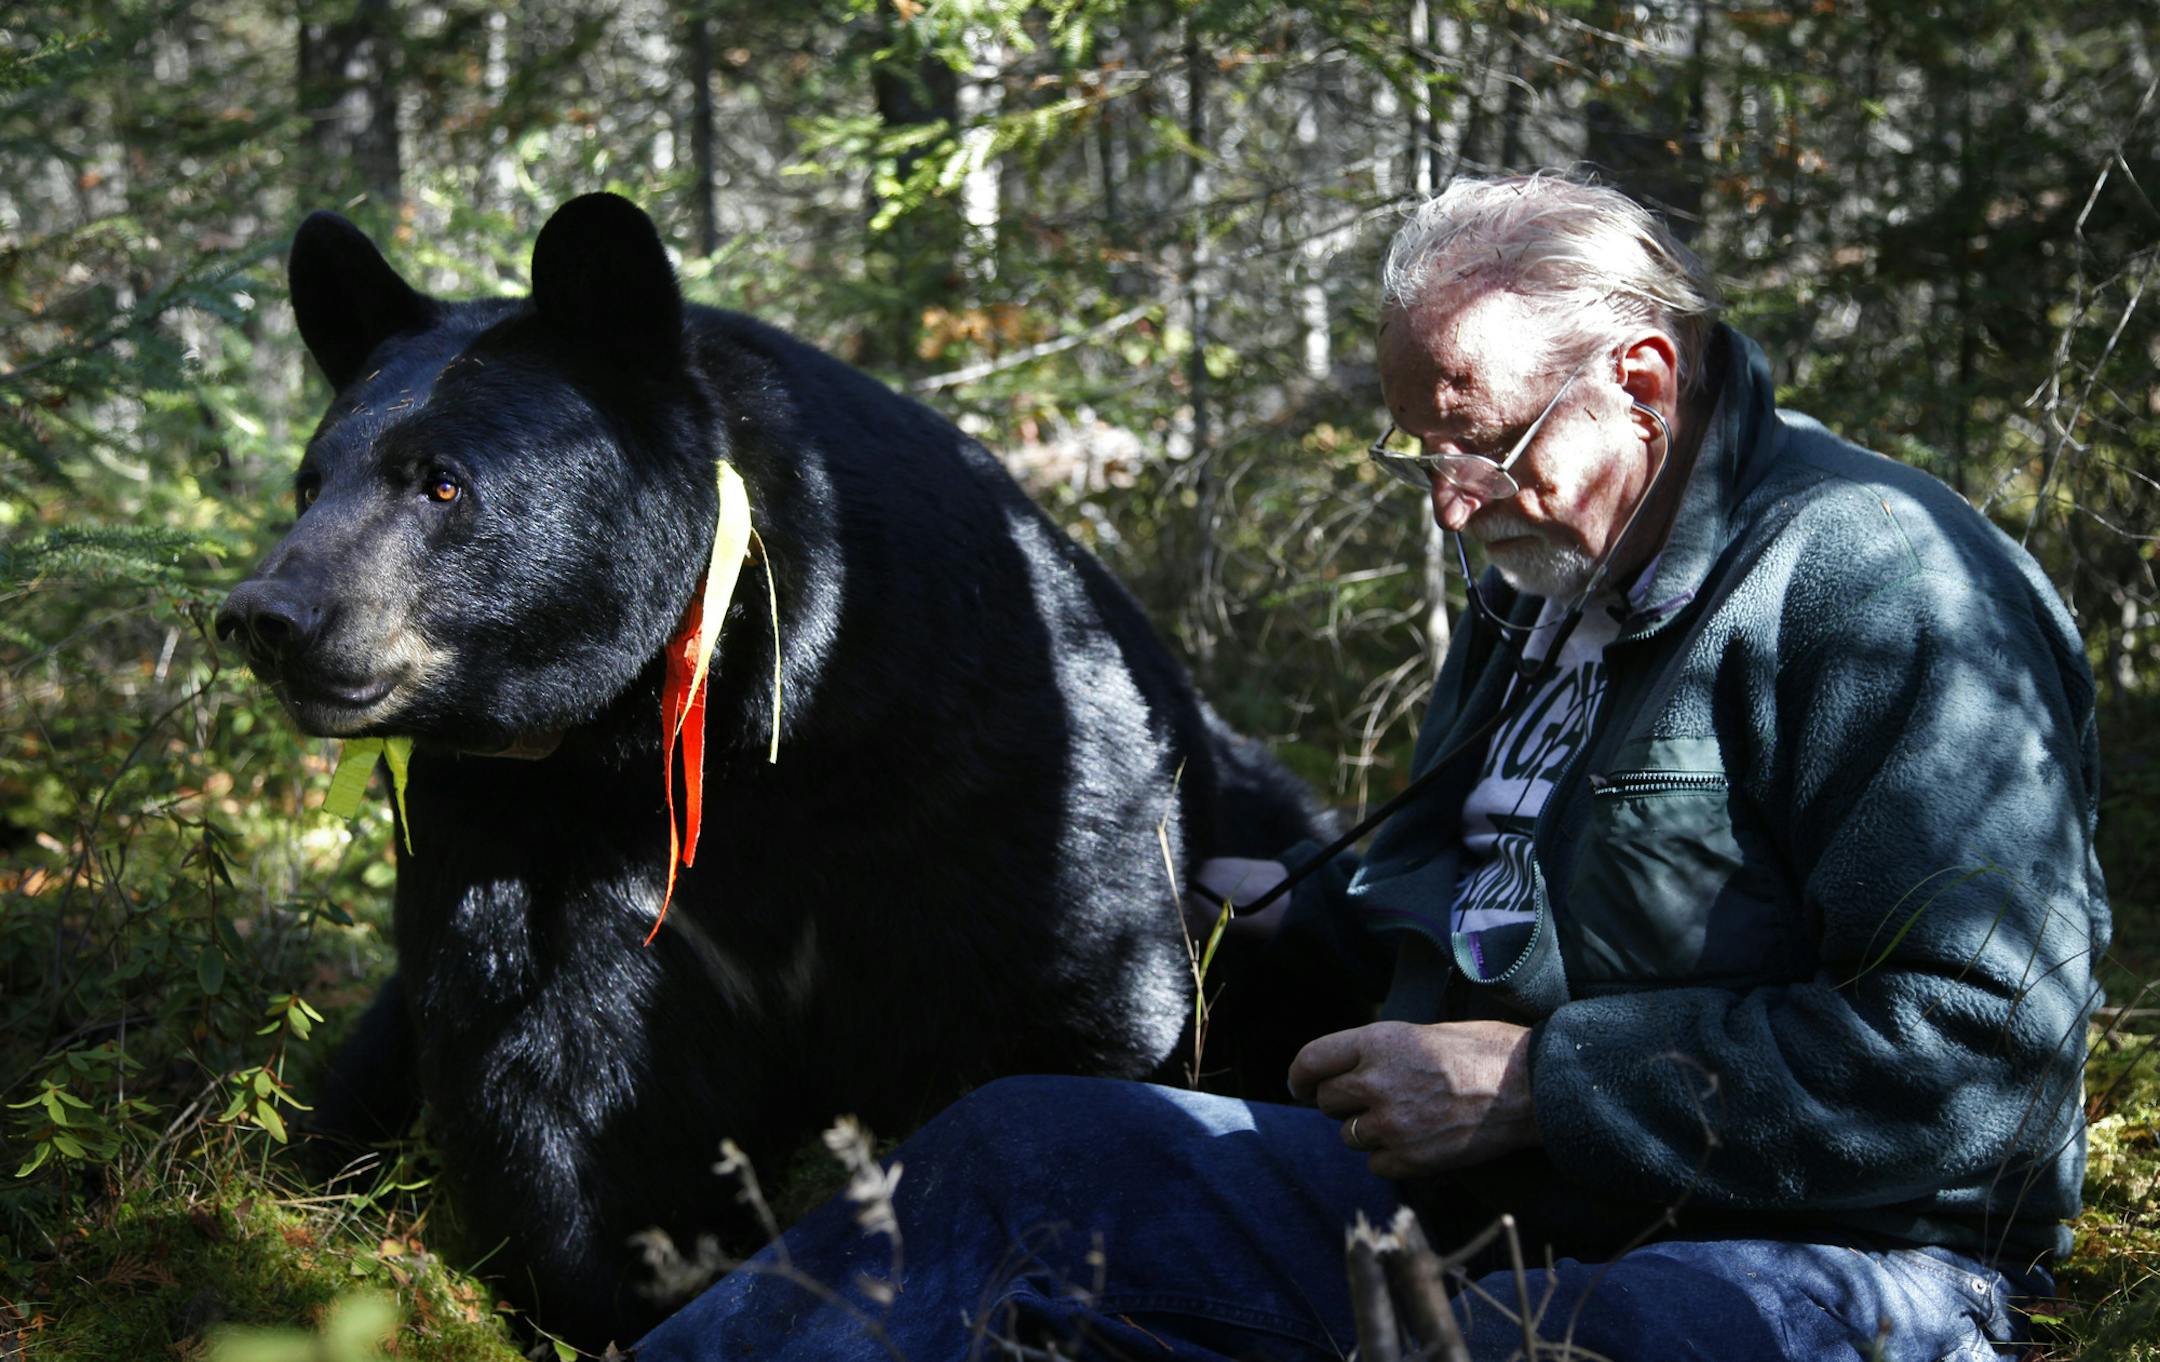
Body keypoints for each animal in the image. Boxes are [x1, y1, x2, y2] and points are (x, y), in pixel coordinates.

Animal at [216, 193, 1337, 1348]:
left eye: (442, 482)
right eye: (311, 483)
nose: (266, 617)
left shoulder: (981, 746)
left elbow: (1066, 992)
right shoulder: (523, 829)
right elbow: (558, 1079)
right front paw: (619, 1296)